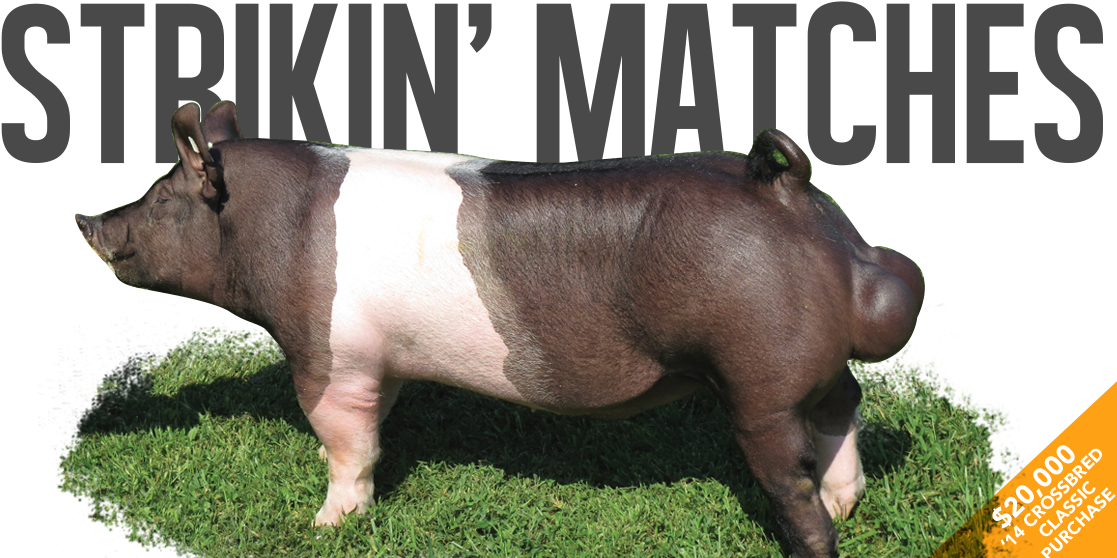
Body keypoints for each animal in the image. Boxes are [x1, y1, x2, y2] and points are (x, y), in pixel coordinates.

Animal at [75, 101, 924, 558]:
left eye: (161, 196)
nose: (87, 223)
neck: (264, 230)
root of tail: (786, 191)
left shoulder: (329, 354)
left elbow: (346, 444)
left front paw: (322, 525)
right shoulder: (380, 362)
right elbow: (372, 432)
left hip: (756, 375)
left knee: (789, 474)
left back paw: (817, 530)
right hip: (807, 372)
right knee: (843, 408)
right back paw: (847, 504)